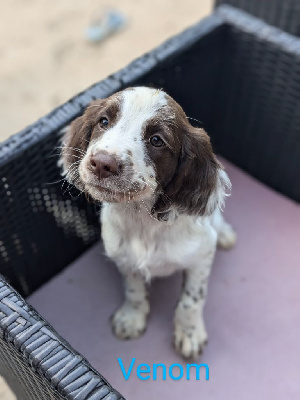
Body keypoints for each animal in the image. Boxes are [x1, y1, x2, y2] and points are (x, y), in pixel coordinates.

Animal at [59, 86, 236, 360]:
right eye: (104, 122)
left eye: (156, 140)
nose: (102, 163)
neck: (141, 220)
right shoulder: (124, 257)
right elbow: (133, 290)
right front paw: (132, 318)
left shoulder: (202, 255)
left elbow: (191, 300)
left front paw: (190, 333)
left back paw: (226, 234)